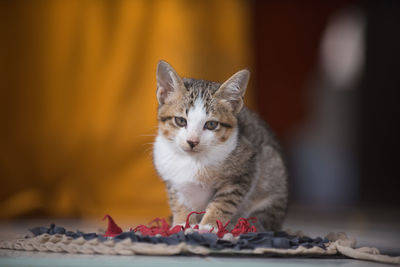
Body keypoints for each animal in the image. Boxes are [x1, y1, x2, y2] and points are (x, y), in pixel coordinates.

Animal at [153, 60, 288, 232]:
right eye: (181, 121)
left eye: (211, 124)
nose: (192, 141)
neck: (193, 160)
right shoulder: (172, 179)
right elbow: (178, 201)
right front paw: (182, 223)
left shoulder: (244, 170)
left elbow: (224, 202)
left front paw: (209, 225)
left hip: (273, 173)